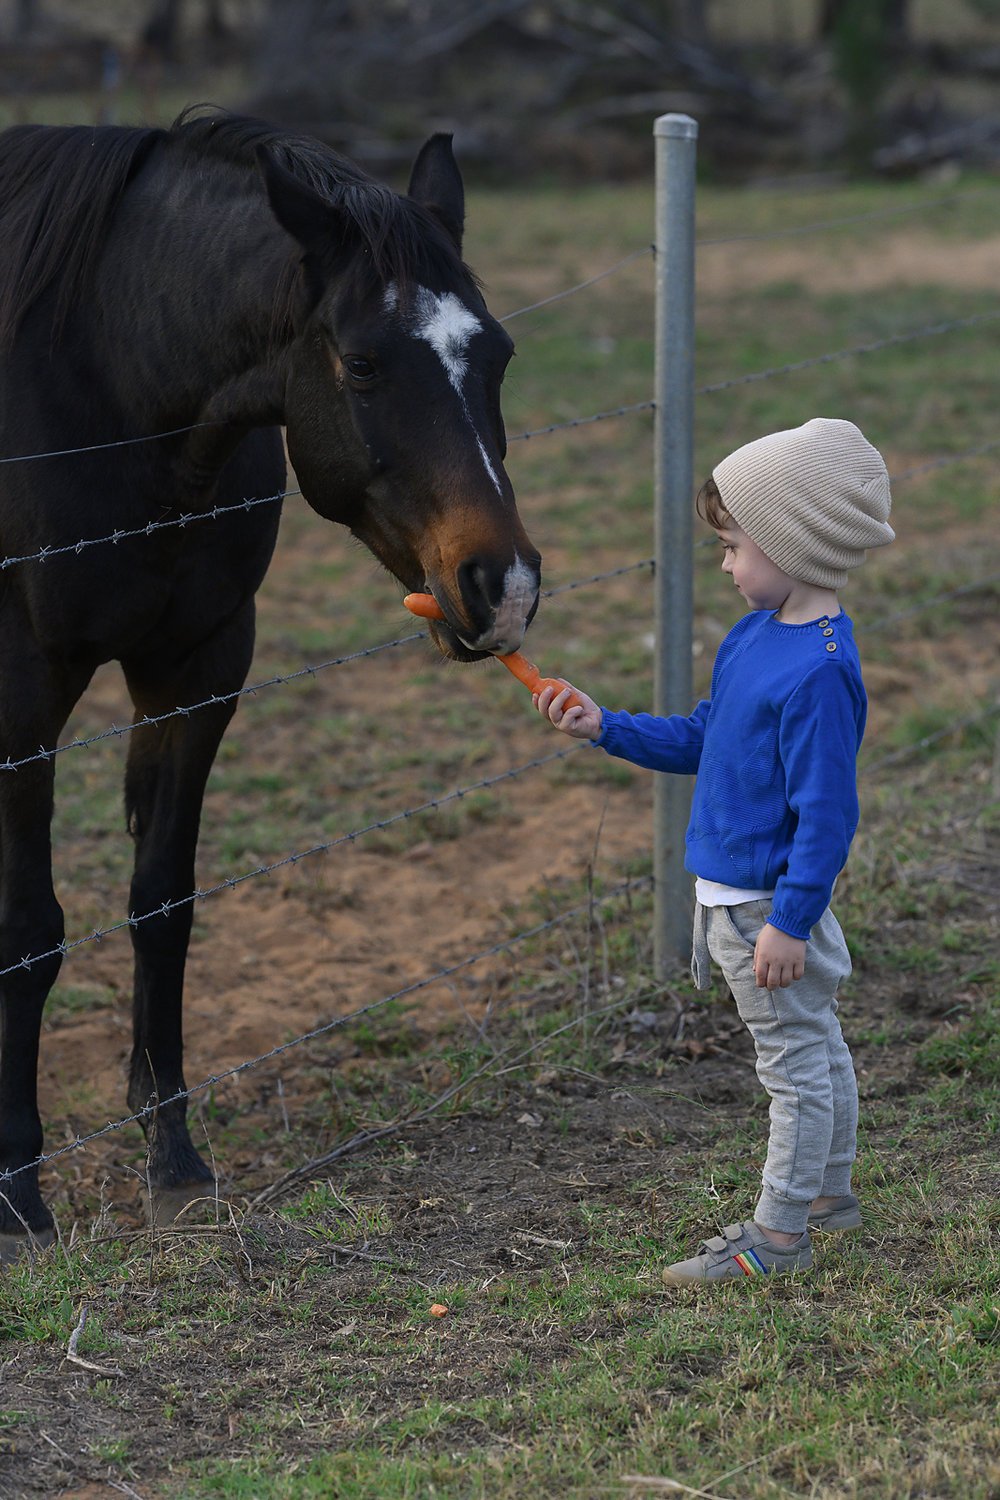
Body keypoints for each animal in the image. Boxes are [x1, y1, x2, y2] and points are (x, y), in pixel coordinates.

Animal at [0, 105, 539, 1260]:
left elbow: (162, 905)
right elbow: (28, 932)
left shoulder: (198, 671)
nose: (504, 586)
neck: (92, 380)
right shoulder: (23, 699)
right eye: (364, 364)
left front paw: (175, 1165)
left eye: (499, 354)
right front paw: (18, 1197)